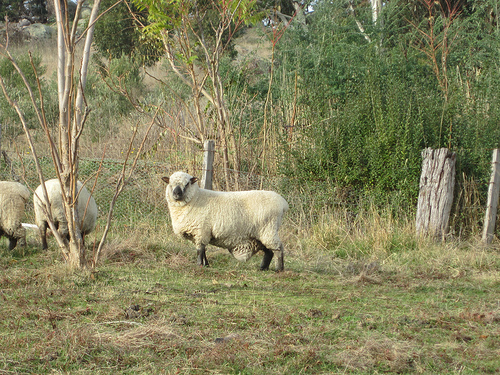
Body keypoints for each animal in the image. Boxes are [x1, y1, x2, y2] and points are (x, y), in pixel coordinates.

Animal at [162, 172, 292, 272]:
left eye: (187, 184)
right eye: (170, 183)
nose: (176, 193)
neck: (195, 198)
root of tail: (283, 203)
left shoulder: (201, 231)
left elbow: (200, 251)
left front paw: (199, 265)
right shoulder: (202, 233)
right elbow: (203, 251)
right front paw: (206, 265)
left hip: (268, 229)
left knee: (278, 248)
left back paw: (279, 269)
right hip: (260, 234)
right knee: (269, 251)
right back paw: (263, 268)